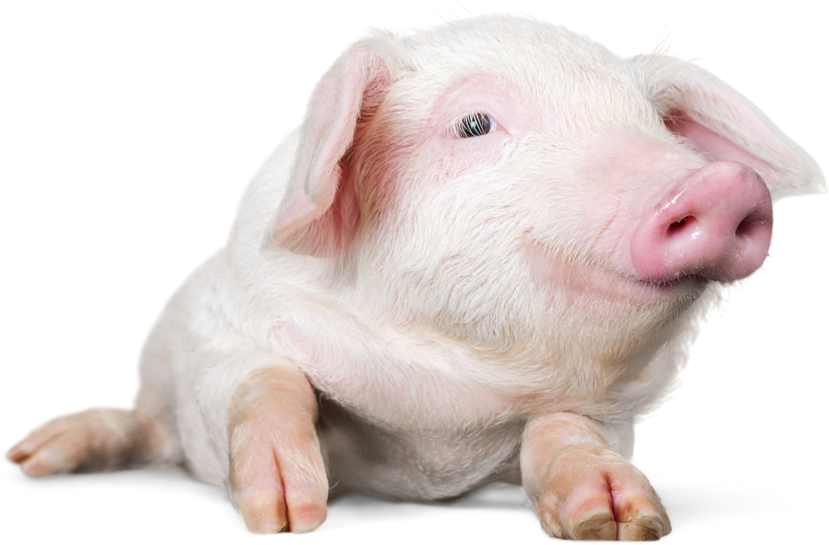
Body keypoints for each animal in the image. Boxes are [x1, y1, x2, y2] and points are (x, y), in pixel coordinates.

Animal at [2, 5, 826, 543]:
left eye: (654, 125)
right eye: (474, 124)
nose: (722, 185)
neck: (435, 429)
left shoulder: (609, 417)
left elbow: (565, 427)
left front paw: (618, 519)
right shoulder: (223, 331)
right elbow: (263, 378)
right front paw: (285, 513)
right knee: (147, 425)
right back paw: (33, 454)